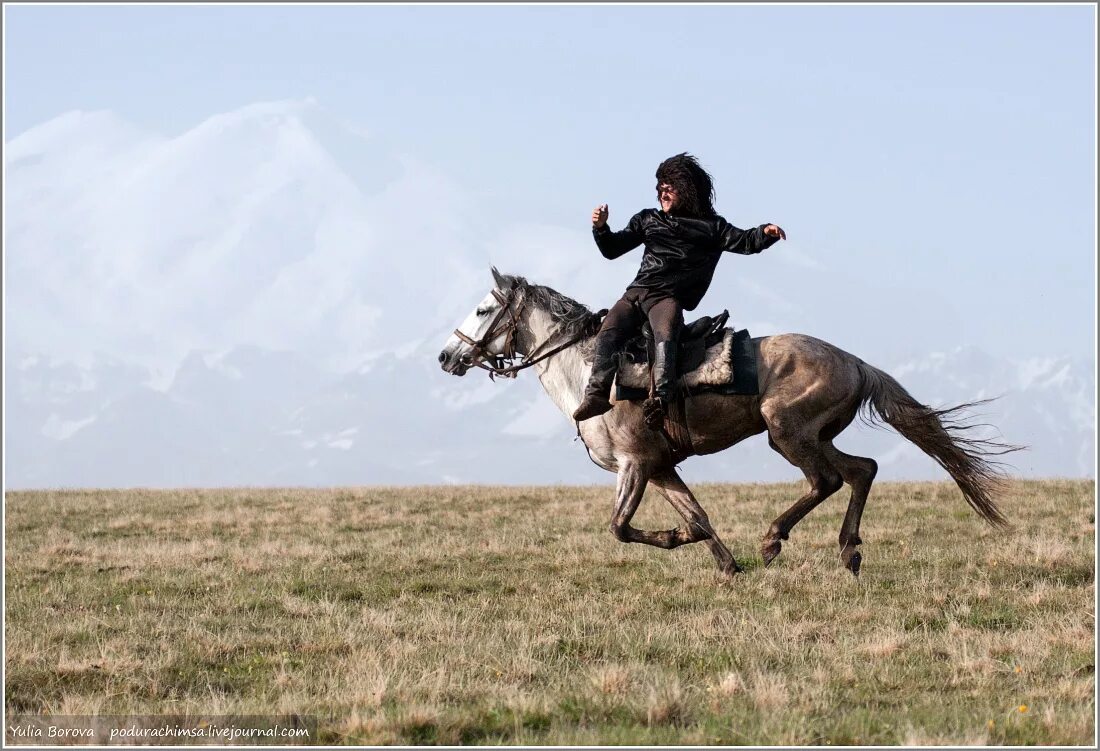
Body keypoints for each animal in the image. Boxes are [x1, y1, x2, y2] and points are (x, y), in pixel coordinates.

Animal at [435, 268, 1012, 576]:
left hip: (788, 432)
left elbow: (619, 527)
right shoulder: (661, 468)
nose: (446, 356)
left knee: (829, 478)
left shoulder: (634, 465)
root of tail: (855, 361)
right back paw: (847, 551)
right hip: (814, 435)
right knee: (862, 469)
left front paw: (676, 541)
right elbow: (699, 518)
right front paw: (726, 566)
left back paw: (774, 539)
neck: (590, 371)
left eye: (484, 309)